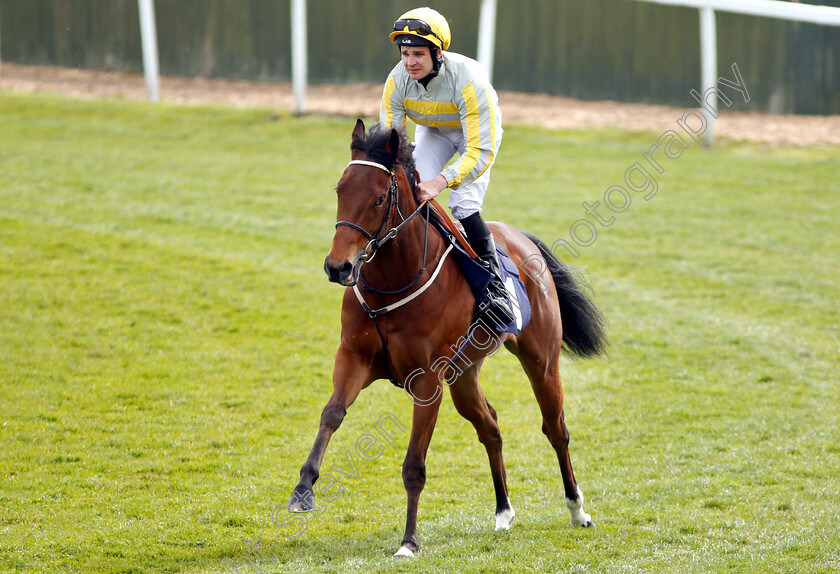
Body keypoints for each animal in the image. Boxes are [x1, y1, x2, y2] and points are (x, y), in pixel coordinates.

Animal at [286, 120, 608, 560]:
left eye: (379, 198)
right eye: (339, 189)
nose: (339, 267)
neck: (393, 280)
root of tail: (522, 239)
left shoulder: (427, 383)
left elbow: (414, 465)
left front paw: (408, 541)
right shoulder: (353, 358)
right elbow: (331, 415)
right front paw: (303, 488)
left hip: (541, 360)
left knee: (556, 428)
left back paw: (577, 511)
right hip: (464, 374)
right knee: (490, 426)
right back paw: (503, 512)